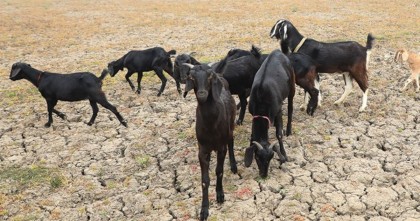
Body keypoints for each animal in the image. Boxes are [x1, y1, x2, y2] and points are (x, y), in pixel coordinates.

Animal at [183, 63, 238, 221]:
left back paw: (233, 165)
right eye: (192, 78)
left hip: (231, 125)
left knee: (231, 141)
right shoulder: (202, 150)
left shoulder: (221, 147)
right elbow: (204, 180)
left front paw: (220, 195)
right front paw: (204, 210)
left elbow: (219, 171)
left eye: (209, 77)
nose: (202, 94)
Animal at [243, 49, 296, 178]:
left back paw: (288, 129)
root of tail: (278, 51)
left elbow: (279, 134)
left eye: (271, 158)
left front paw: (284, 155)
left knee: (290, 107)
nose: (264, 175)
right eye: (257, 157)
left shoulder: (278, 111)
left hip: (292, 85)